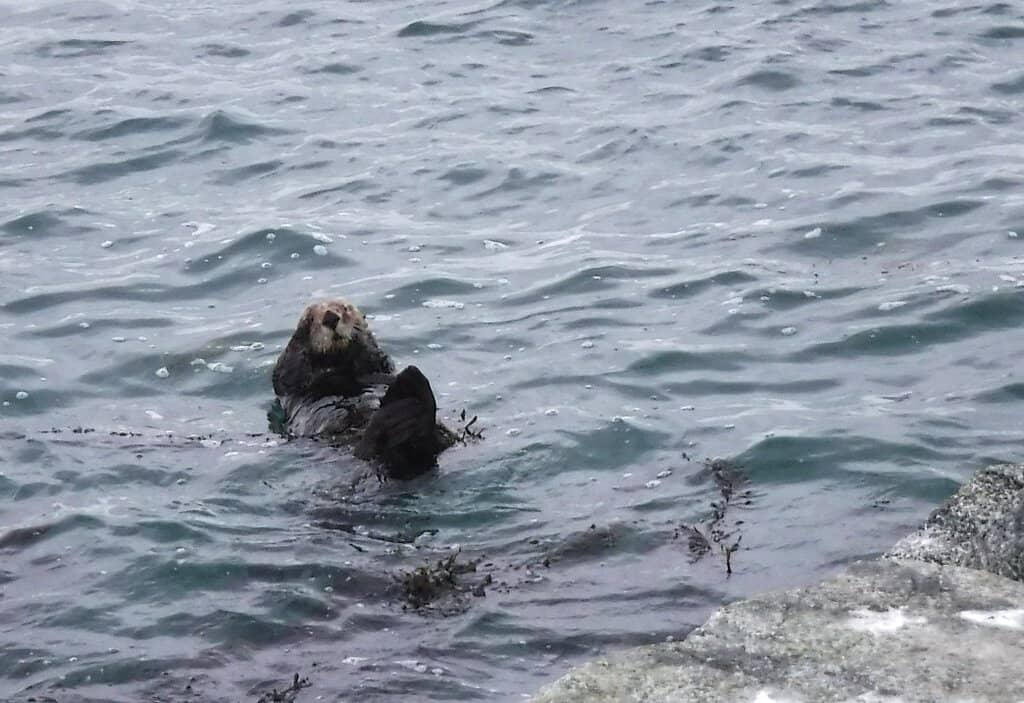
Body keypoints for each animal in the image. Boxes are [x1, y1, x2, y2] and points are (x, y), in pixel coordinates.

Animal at [272, 298, 455, 478]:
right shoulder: (290, 378)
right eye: (310, 319)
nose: (330, 317)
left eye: (344, 309)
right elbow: (290, 373)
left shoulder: (377, 364)